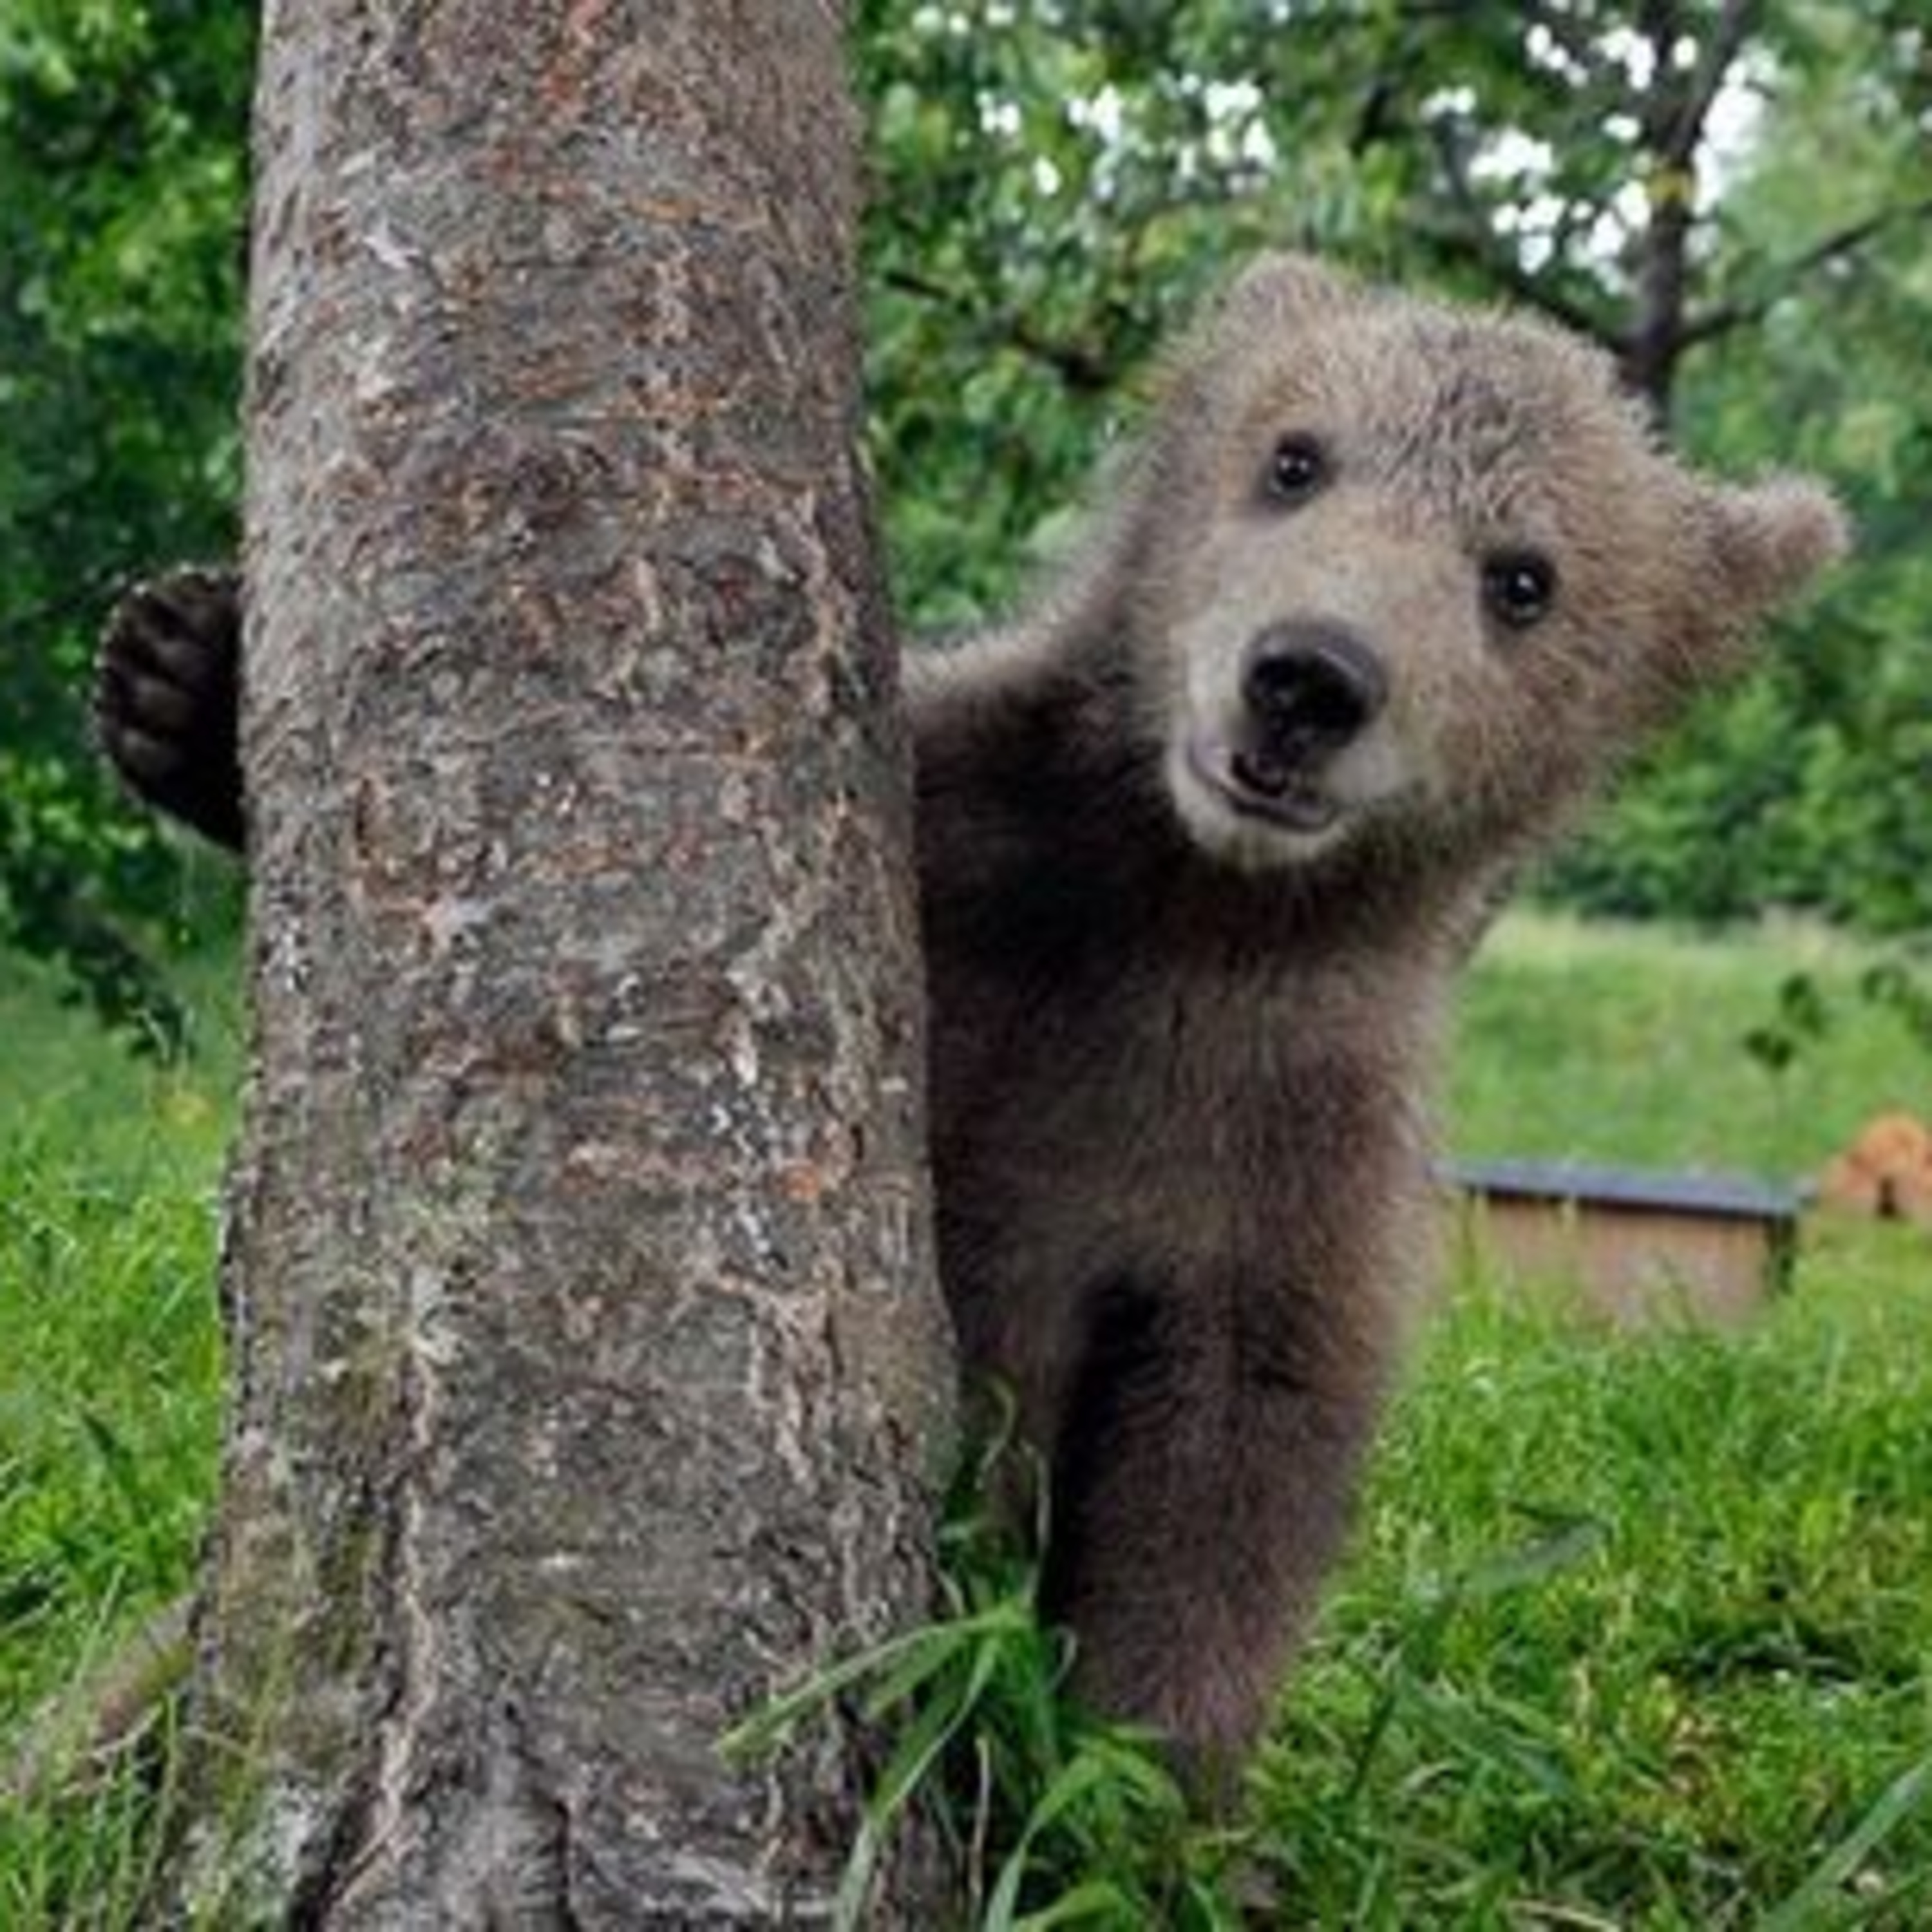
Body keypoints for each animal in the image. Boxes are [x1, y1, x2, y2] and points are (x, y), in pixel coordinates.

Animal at [96, 253, 1847, 1777]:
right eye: (1294, 457)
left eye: (1522, 577)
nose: (1308, 676)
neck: (1180, 900)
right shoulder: (958, 855)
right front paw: (179, 670)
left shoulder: (1288, 1143)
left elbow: (1230, 1472)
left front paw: (1120, 1788)